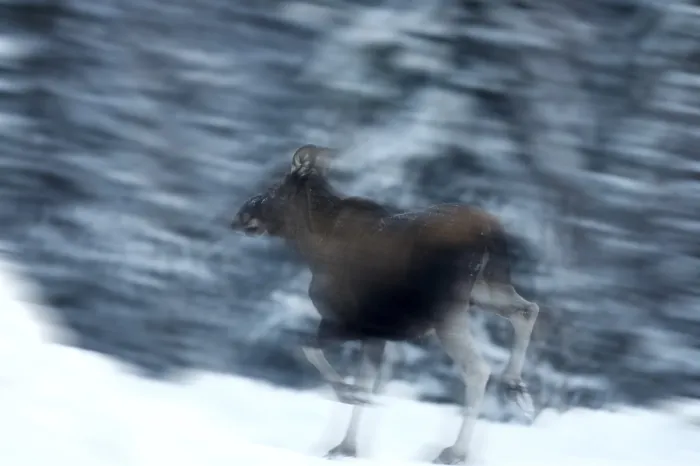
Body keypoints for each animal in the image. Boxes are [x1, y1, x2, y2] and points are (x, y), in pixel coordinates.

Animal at [230, 144, 540, 464]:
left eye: (273, 190)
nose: (239, 216)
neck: (311, 248)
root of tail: (492, 233)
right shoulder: (376, 335)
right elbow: (366, 381)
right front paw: (346, 446)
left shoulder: (345, 323)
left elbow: (308, 347)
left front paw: (347, 394)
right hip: (486, 289)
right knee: (527, 310)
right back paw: (515, 387)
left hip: (447, 311)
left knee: (478, 369)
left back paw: (454, 451)